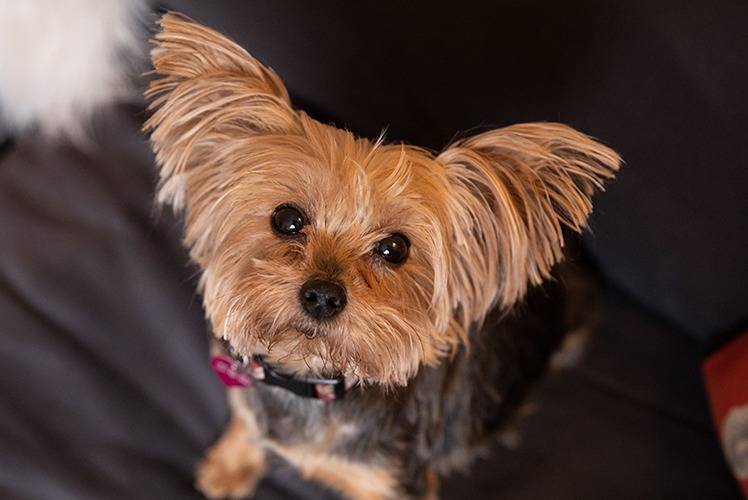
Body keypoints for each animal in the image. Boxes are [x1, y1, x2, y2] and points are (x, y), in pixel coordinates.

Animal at [144, 13, 620, 500]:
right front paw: (229, 464)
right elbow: (245, 418)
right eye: (287, 219)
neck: (310, 378)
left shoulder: (392, 481)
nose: (323, 296)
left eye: (395, 248)